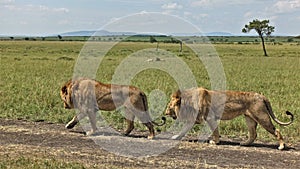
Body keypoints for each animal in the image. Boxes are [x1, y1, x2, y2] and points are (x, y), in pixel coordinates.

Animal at [164, 88, 292, 150]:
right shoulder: (192, 120)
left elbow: (215, 131)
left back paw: (281, 146)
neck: (188, 103)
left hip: (262, 117)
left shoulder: (210, 118)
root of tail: (261, 96)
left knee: (276, 131)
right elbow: (183, 130)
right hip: (249, 119)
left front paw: (215, 142)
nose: (165, 114)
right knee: (253, 134)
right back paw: (244, 143)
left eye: (169, 106)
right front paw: (175, 137)